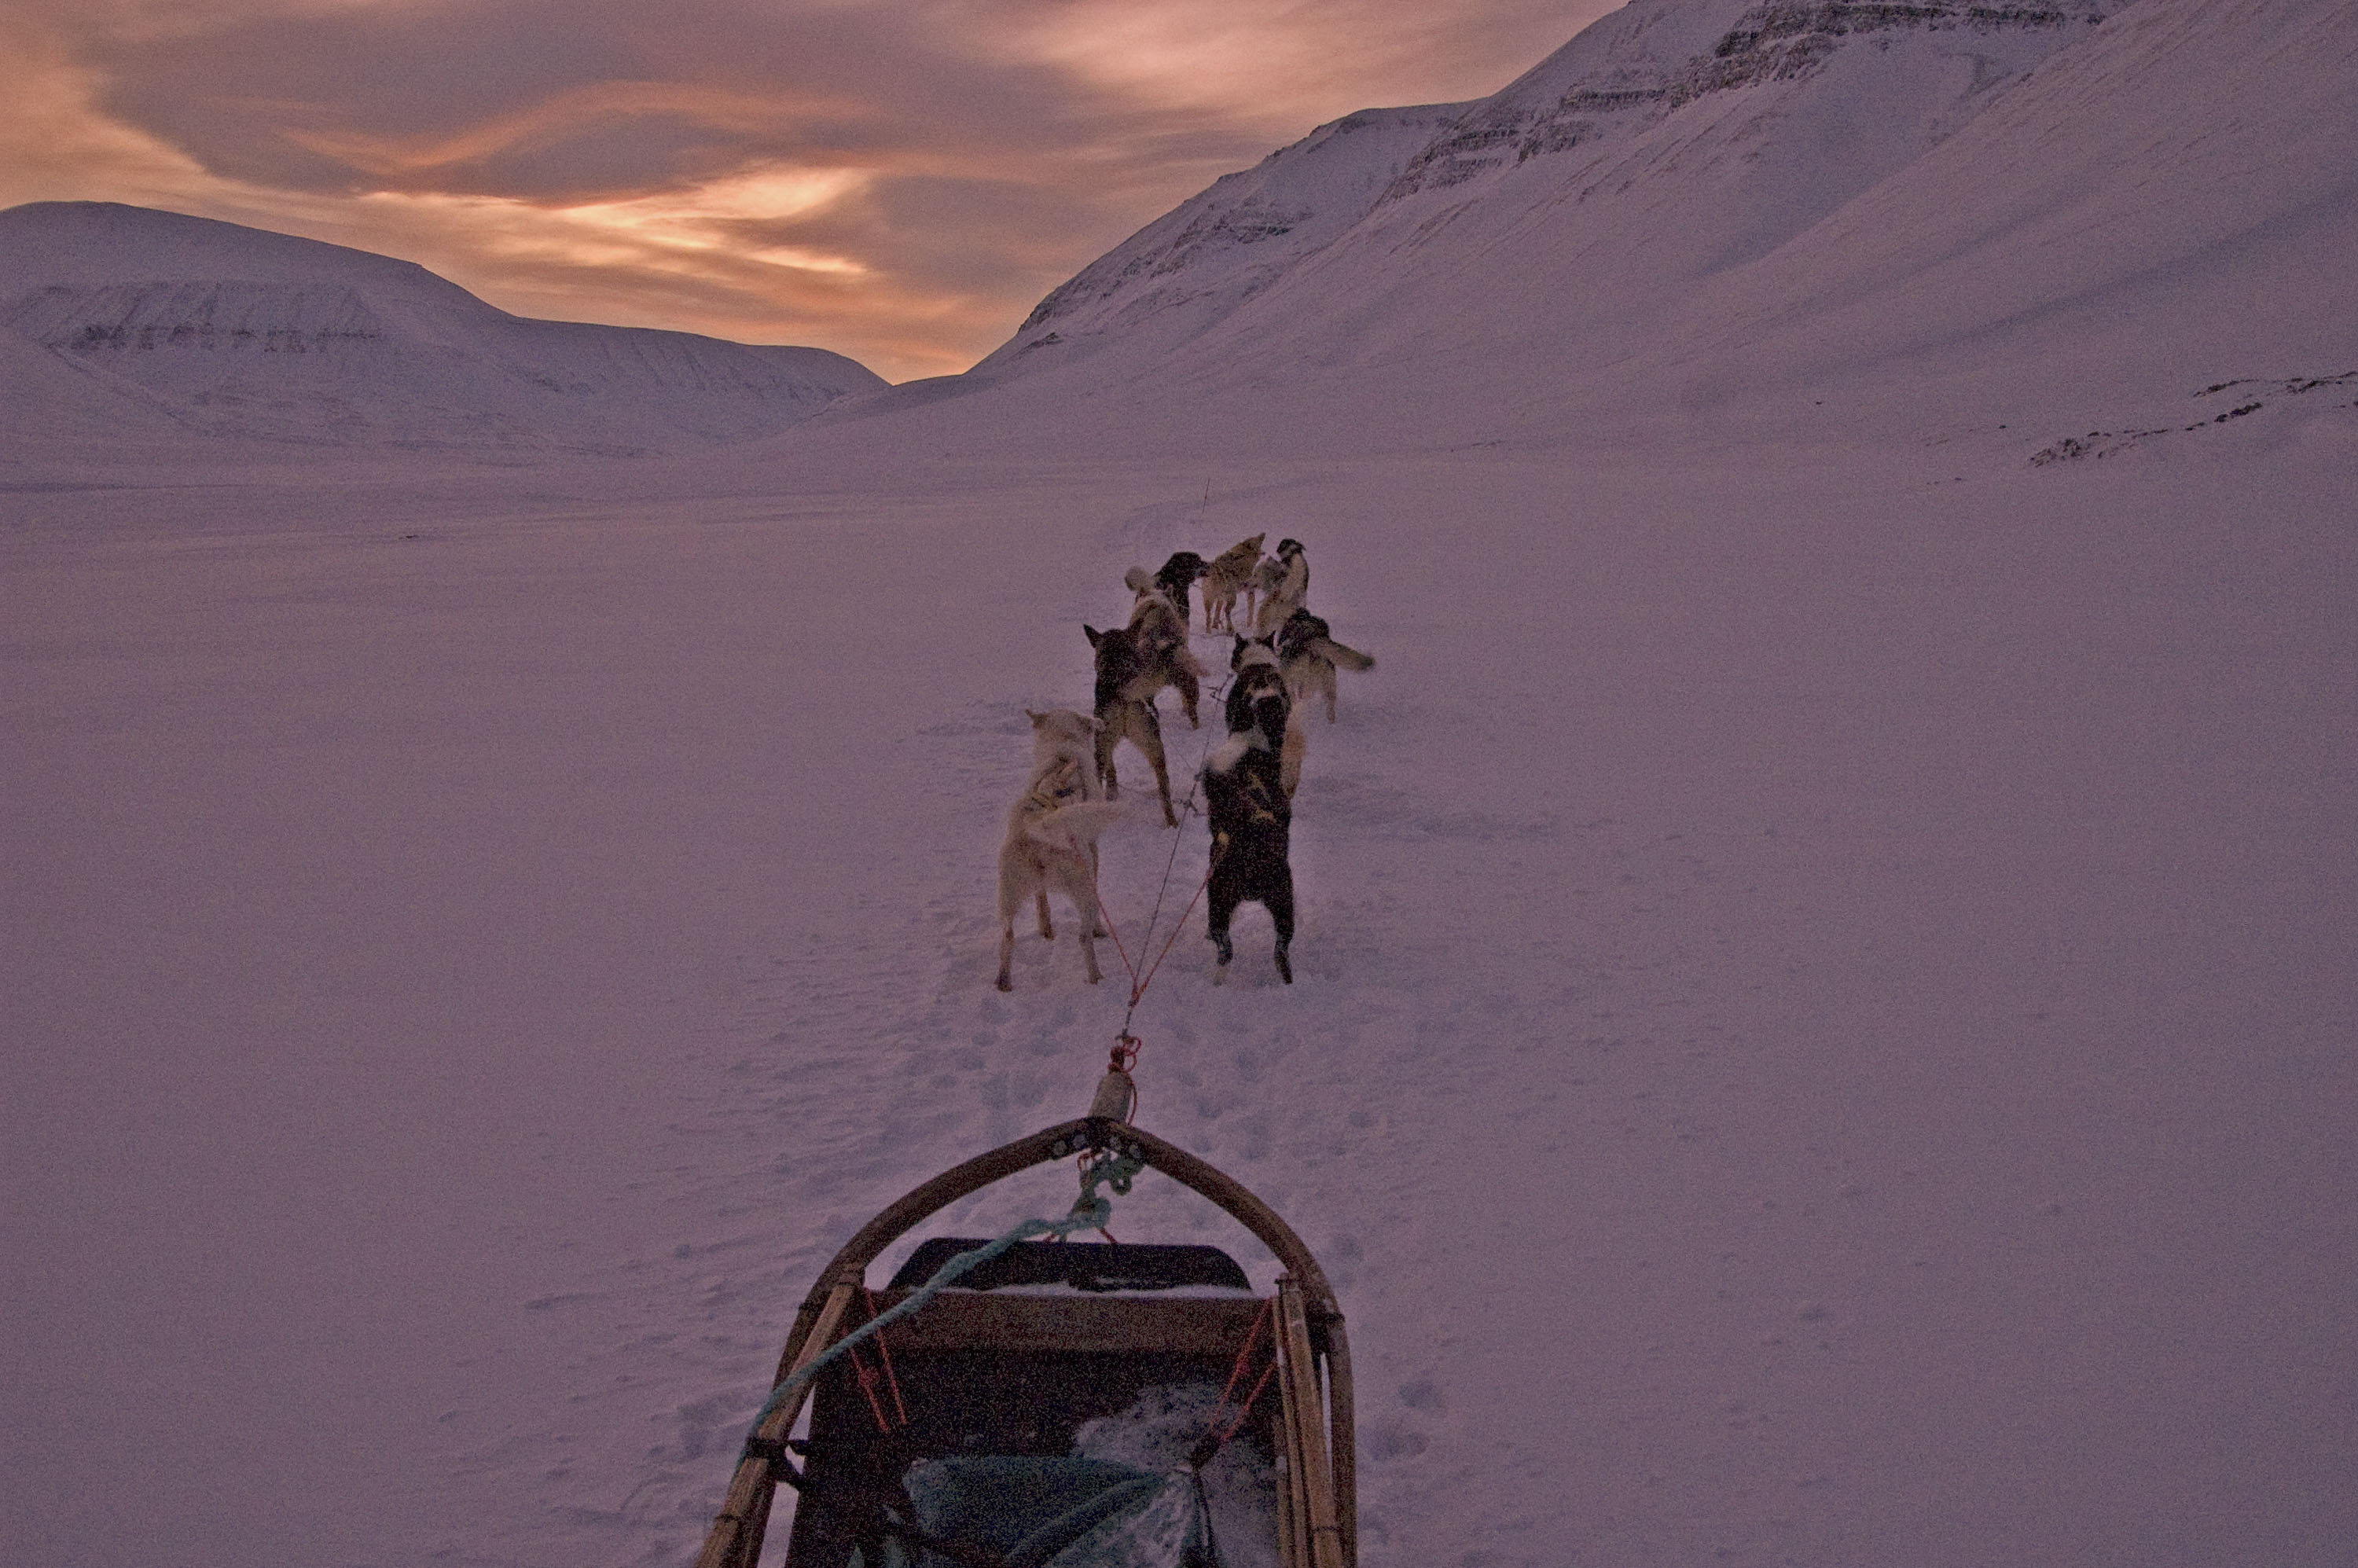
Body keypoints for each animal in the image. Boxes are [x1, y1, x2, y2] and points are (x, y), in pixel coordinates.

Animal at [990, 759, 1127, 990]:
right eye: (1079, 786)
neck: (1049, 800)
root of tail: (1038, 828)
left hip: (1009, 895)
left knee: (1008, 937)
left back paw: (1004, 981)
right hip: (1085, 893)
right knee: (1084, 938)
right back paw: (1096, 977)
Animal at [1283, 608, 1377, 726]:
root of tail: (1314, 642)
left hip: (1308, 681)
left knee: (1303, 695)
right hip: (1328, 683)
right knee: (1330, 703)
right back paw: (1331, 719)